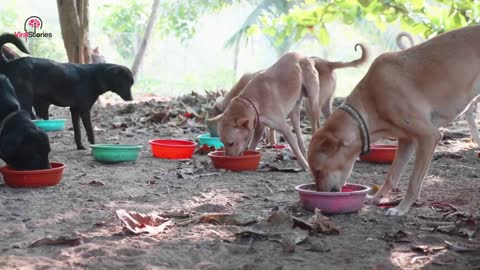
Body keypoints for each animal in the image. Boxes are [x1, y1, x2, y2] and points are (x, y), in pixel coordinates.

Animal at [0, 33, 134, 150]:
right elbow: (90, 131)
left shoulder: (74, 110)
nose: (131, 98)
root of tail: (9, 63)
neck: (96, 76)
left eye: (132, 83)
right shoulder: (85, 110)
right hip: (25, 103)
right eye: (125, 82)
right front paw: (93, 146)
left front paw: (80, 147)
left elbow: (77, 132)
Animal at [308, 24, 480, 215]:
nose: (320, 194)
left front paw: (401, 209)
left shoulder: (429, 137)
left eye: (318, 171)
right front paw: (377, 198)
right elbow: (392, 176)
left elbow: (414, 182)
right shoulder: (407, 140)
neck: (372, 99)